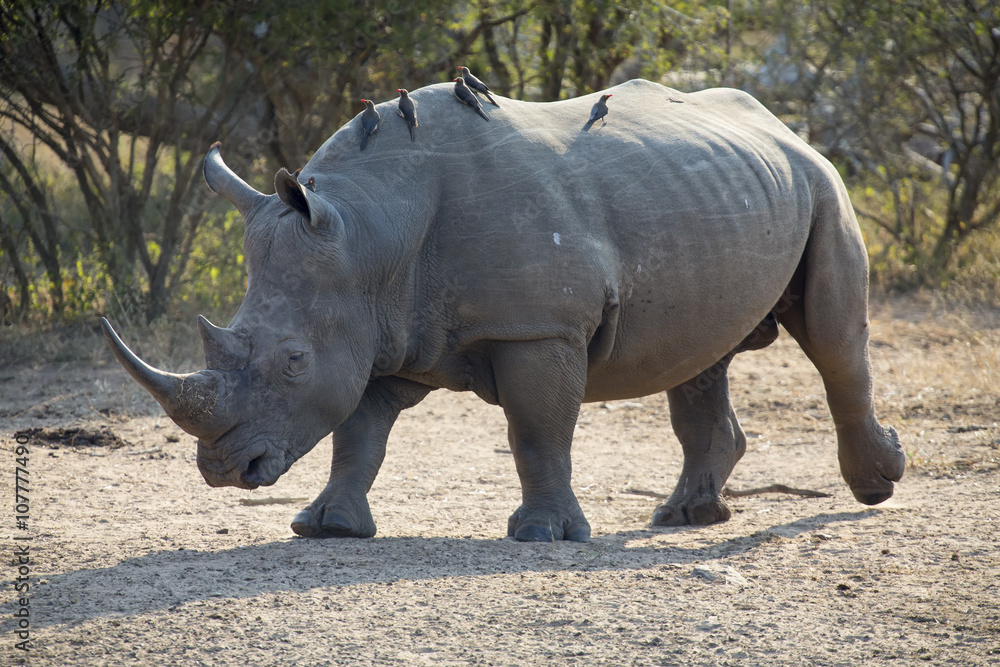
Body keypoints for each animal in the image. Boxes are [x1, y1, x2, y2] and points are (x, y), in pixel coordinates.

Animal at [102, 79, 905, 542]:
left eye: (292, 361)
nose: (222, 469)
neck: (370, 234)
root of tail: (785, 127)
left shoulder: (537, 329)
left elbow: (536, 431)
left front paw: (543, 536)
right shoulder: (379, 325)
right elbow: (358, 434)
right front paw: (326, 527)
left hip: (823, 185)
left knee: (835, 341)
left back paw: (877, 485)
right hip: (725, 195)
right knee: (699, 359)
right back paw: (684, 517)